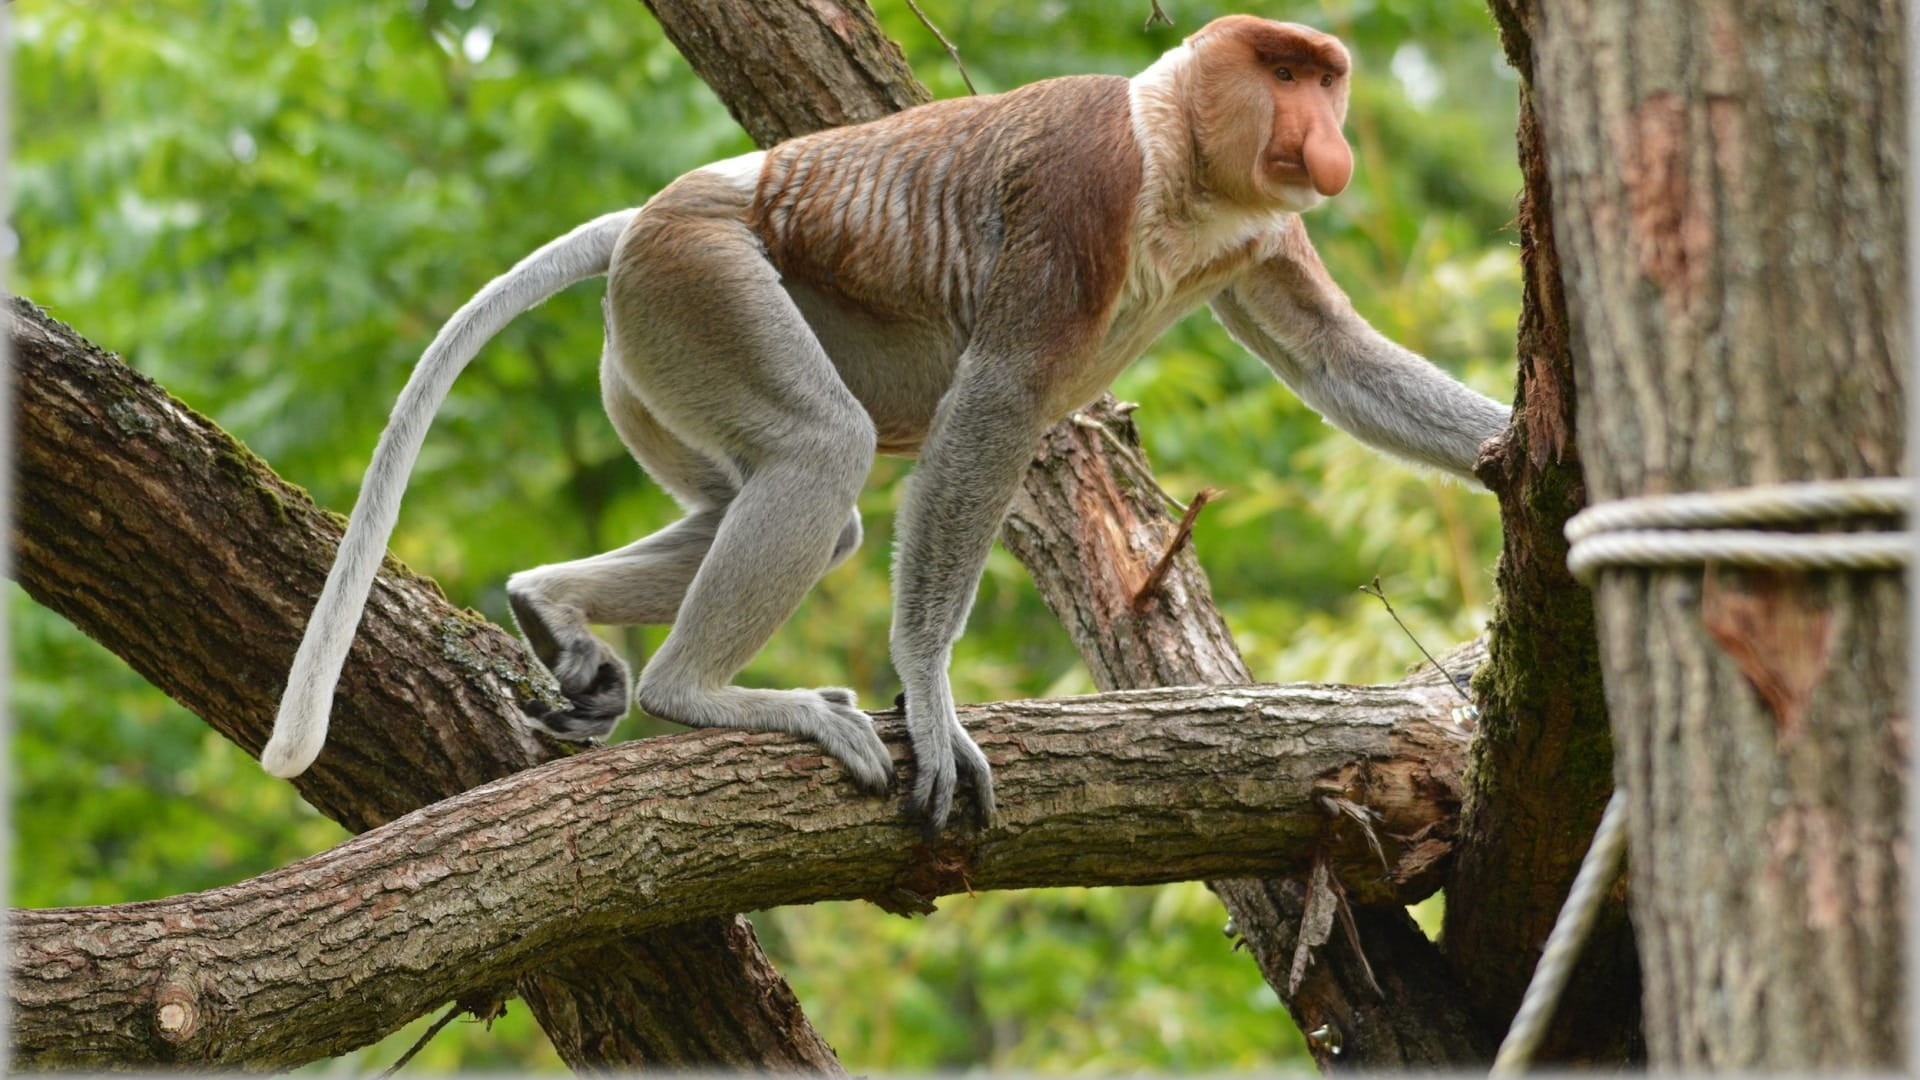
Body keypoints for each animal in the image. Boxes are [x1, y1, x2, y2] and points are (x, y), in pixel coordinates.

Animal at [262, 15, 1510, 834]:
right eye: (1285, 71)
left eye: (1326, 77)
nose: (1326, 133)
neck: (1175, 152)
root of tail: (656, 212)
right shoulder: (1082, 182)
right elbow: (996, 403)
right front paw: (930, 691)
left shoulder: (1256, 235)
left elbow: (1331, 356)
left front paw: (1515, 453)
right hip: (700, 285)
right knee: (824, 455)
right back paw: (695, 693)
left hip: (651, 355)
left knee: (783, 506)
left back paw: (550, 606)